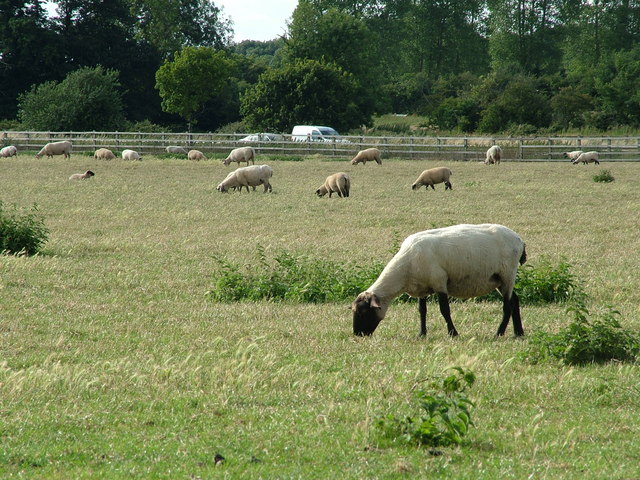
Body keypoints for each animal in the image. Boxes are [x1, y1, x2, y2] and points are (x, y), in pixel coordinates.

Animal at [352, 222, 528, 338]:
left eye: (363, 312)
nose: (358, 334)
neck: (405, 269)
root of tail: (519, 239)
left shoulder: (439, 282)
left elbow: (444, 310)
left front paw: (453, 334)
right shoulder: (421, 287)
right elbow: (422, 311)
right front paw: (422, 334)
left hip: (508, 273)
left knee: (508, 305)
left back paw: (499, 333)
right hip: (499, 279)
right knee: (515, 300)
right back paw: (518, 332)